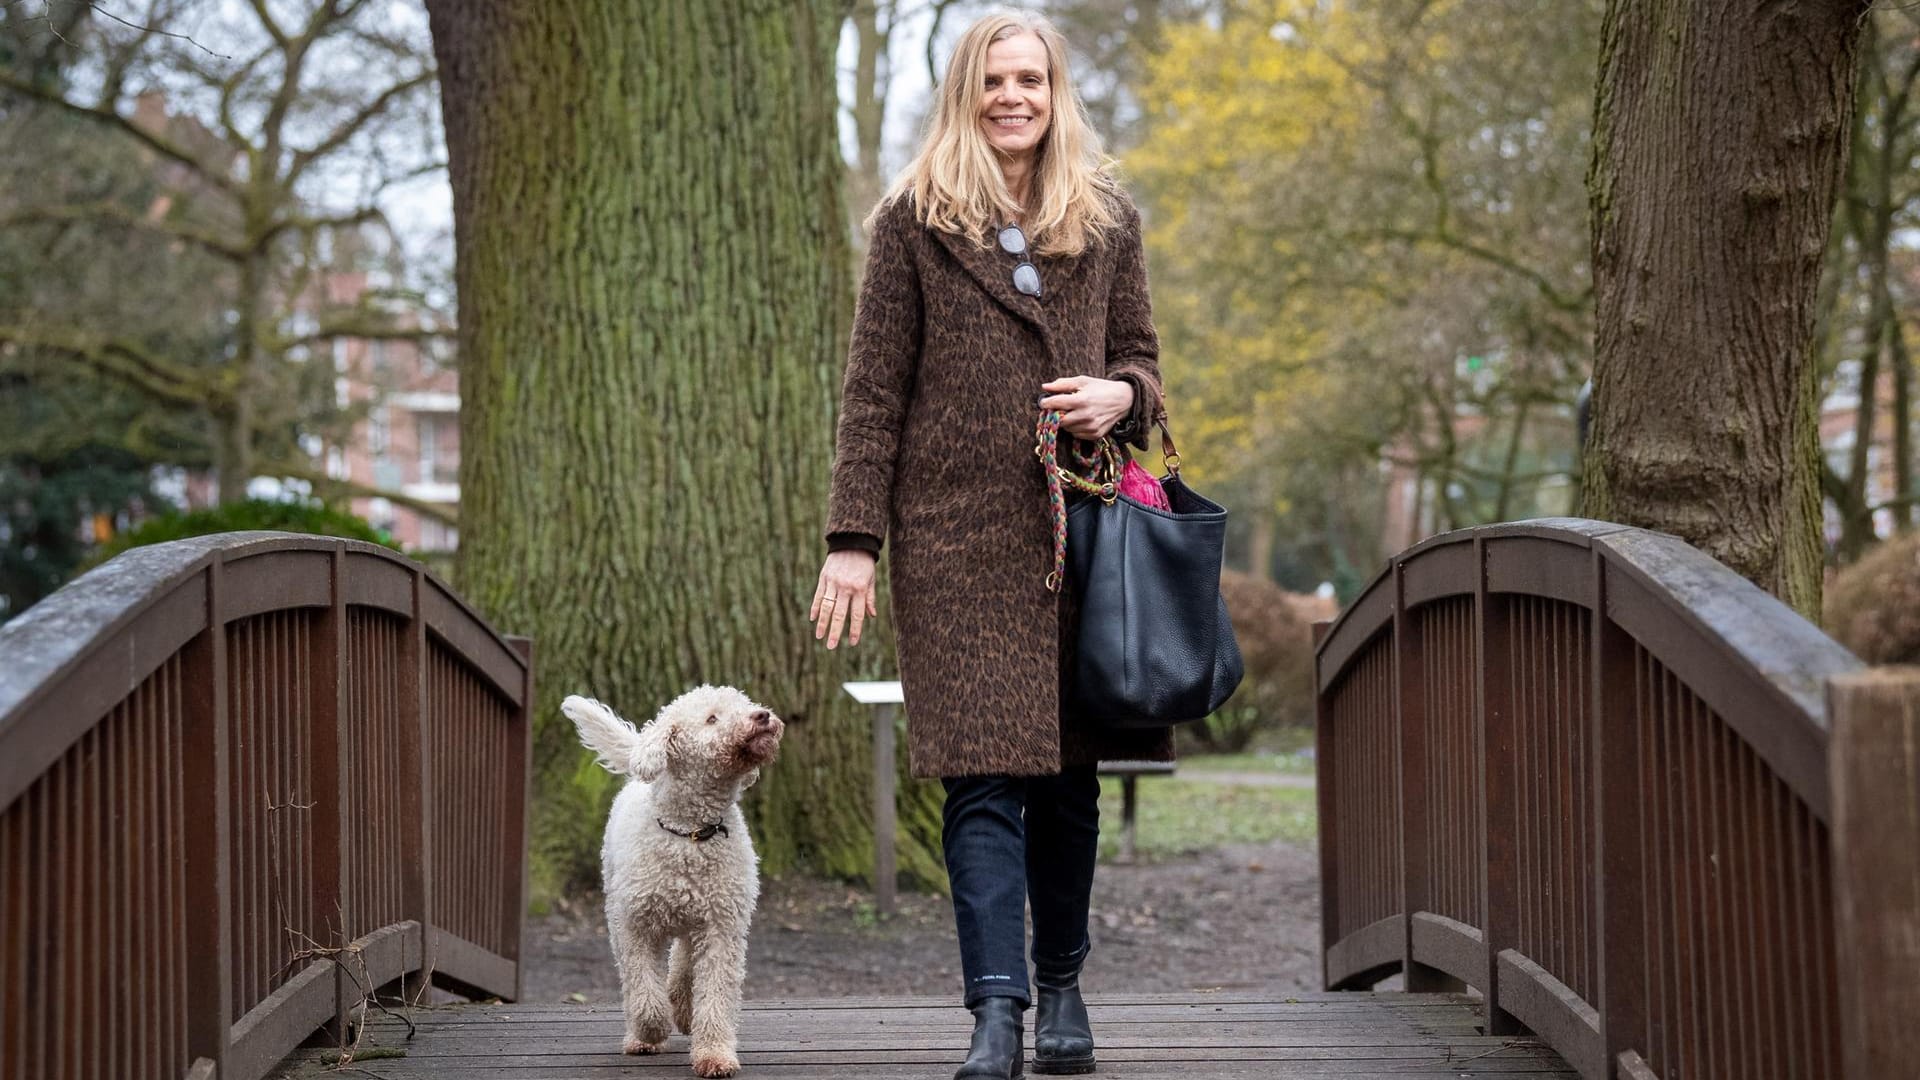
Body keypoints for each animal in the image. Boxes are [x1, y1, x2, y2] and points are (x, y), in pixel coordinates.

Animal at [560, 684, 787, 1068]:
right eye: (712, 719)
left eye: (745, 705)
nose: (762, 715)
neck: (691, 834)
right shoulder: (635, 926)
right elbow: (643, 990)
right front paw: (651, 1030)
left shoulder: (721, 928)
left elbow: (715, 995)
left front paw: (714, 1054)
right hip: (620, 909)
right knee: (642, 979)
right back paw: (644, 1032)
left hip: (695, 920)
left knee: (682, 960)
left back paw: (681, 1007)